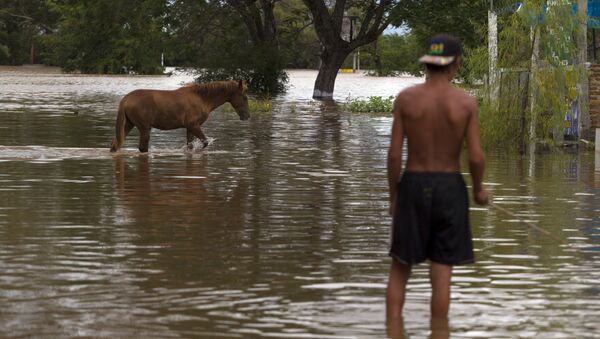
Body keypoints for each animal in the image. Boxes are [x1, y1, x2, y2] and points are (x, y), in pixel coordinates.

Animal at [109, 80, 248, 152]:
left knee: (116, 144)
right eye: (245, 97)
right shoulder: (193, 125)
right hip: (144, 127)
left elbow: (190, 145)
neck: (204, 100)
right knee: (142, 147)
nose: (247, 116)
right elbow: (204, 142)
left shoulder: (189, 127)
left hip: (129, 124)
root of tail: (125, 100)